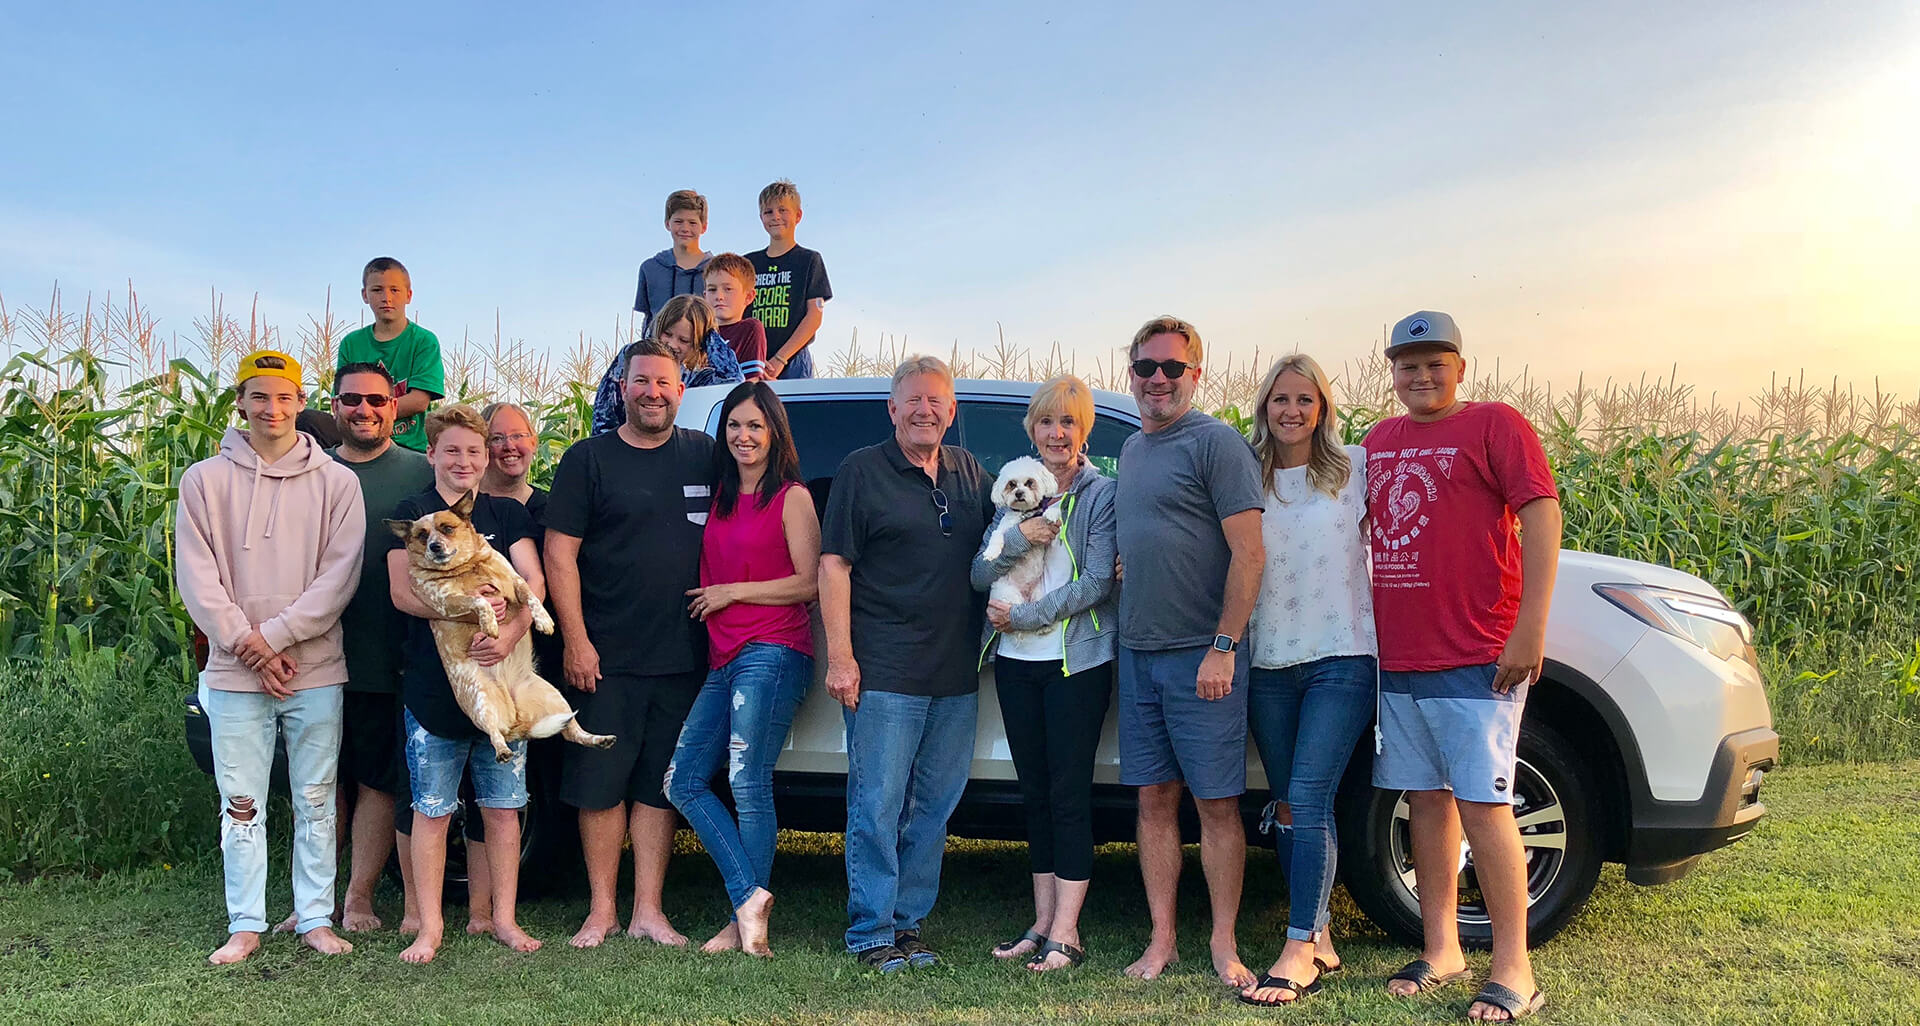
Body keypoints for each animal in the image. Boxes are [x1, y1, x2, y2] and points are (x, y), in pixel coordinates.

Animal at [382, 495, 606, 760]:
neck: (467, 567)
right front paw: (489, 622)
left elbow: (531, 596)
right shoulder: (445, 601)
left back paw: (600, 739)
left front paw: (543, 619)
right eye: (422, 535)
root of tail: (516, 717)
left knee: (571, 731)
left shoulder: (514, 580)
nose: (435, 546)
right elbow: (480, 601)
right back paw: (502, 750)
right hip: (482, 702)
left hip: (556, 698)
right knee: (494, 733)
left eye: (447, 528)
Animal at [983, 461, 1059, 634]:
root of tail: (1026, 594)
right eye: (1011, 484)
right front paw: (991, 553)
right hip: (1009, 594)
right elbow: (996, 536)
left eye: (1030, 482)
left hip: (1040, 593)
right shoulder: (1003, 527)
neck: (1025, 515)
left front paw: (1051, 515)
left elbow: (1052, 512)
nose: (1018, 493)